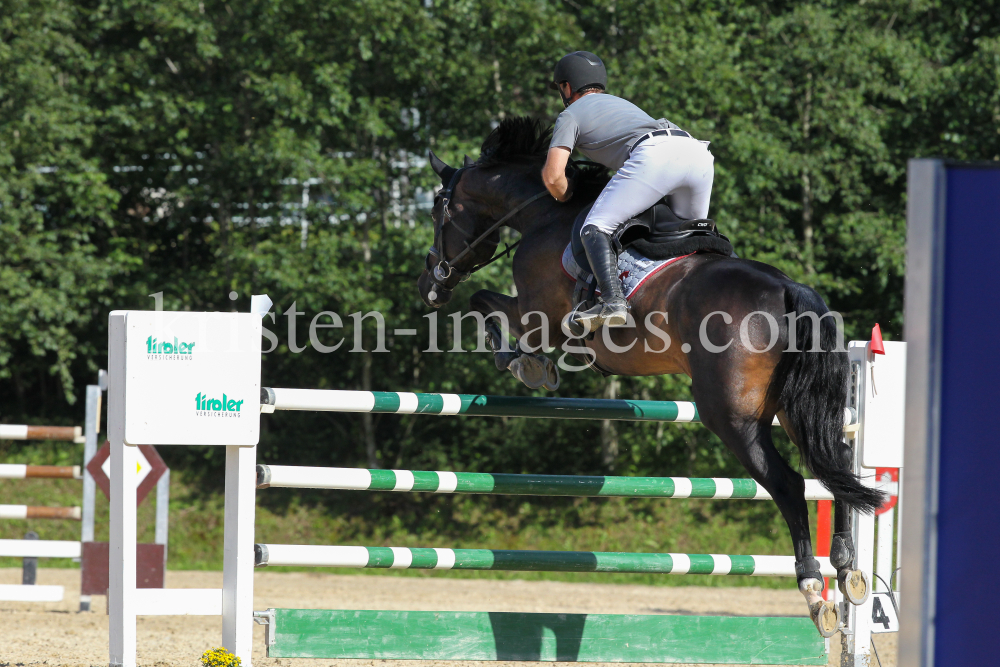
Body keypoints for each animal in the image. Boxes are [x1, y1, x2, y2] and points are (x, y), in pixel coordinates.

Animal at [414, 117, 884, 640]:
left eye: (437, 211)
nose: (429, 284)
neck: (543, 218)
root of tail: (787, 287)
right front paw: (526, 362)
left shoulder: (539, 315)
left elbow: (482, 301)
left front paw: (524, 363)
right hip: (794, 407)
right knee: (835, 464)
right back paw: (848, 569)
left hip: (732, 417)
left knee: (789, 484)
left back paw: (813, 590)